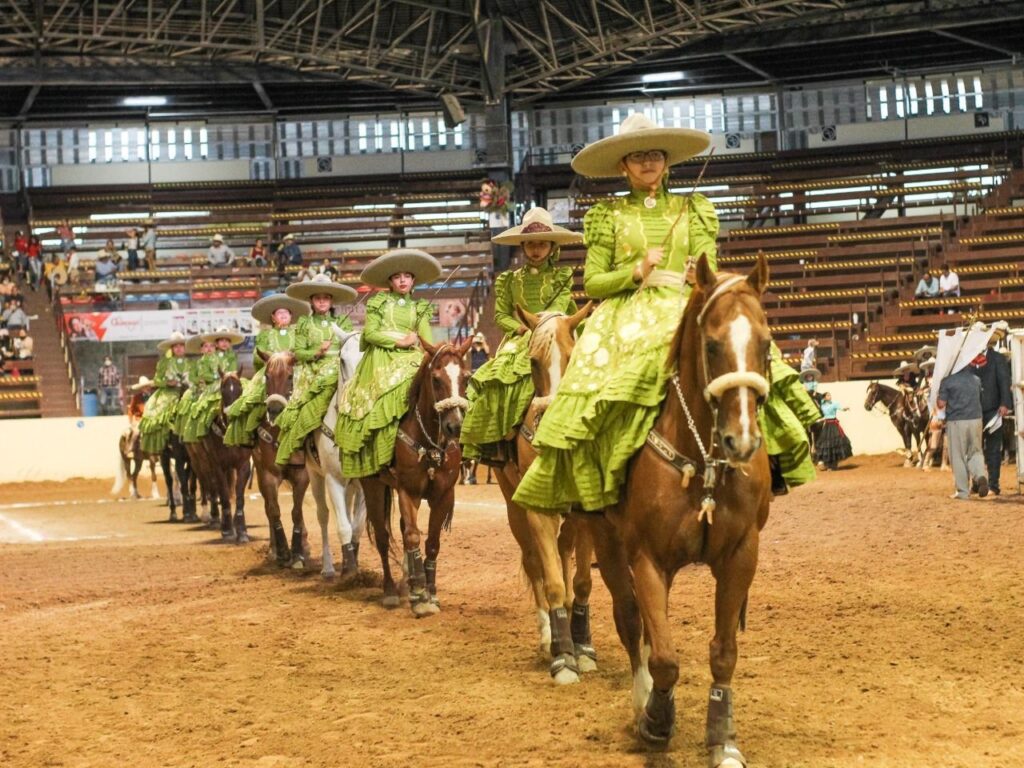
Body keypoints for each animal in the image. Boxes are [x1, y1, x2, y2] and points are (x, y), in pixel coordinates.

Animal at [303, 327, 368, 581]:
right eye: (342, 359)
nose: (355, 396)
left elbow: (357, 525)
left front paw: (354, 563)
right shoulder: (332, 479)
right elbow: (343, 525)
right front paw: (349, 569)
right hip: (315, 475)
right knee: (323, 516)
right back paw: (329, 568)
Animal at [360, 339, 471, 618]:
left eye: (466, 377)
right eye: (436, 379)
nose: (455, 426)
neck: (429, 444)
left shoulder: (443, 494)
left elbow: (431, 542)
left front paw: (430, 592)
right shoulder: (407, 491)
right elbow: (412, 537)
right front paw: (420, 596)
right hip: (372, 486)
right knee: (382, 537)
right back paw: (391, 591)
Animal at [489, 301, 598, 684]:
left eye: (573, 354)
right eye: (533, 362)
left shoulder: (585, 514)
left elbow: (581, 582)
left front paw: (583, 648)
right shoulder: (537, 511)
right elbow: (551, 582)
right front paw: (563, 657)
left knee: (563, 556)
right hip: (513, 507)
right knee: (536, 563)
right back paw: (549, 636)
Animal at [581, 256, 770, 765]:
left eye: (766, 343)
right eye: (712, 344)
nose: (742, 440)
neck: (703, 464)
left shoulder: (741, 555)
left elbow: (723, 652)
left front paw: (723, 737)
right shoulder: (649, 559)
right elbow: (664, 657)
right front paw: (656, 721)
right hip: (606, 542)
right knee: (630, 621)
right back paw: (640, 700)